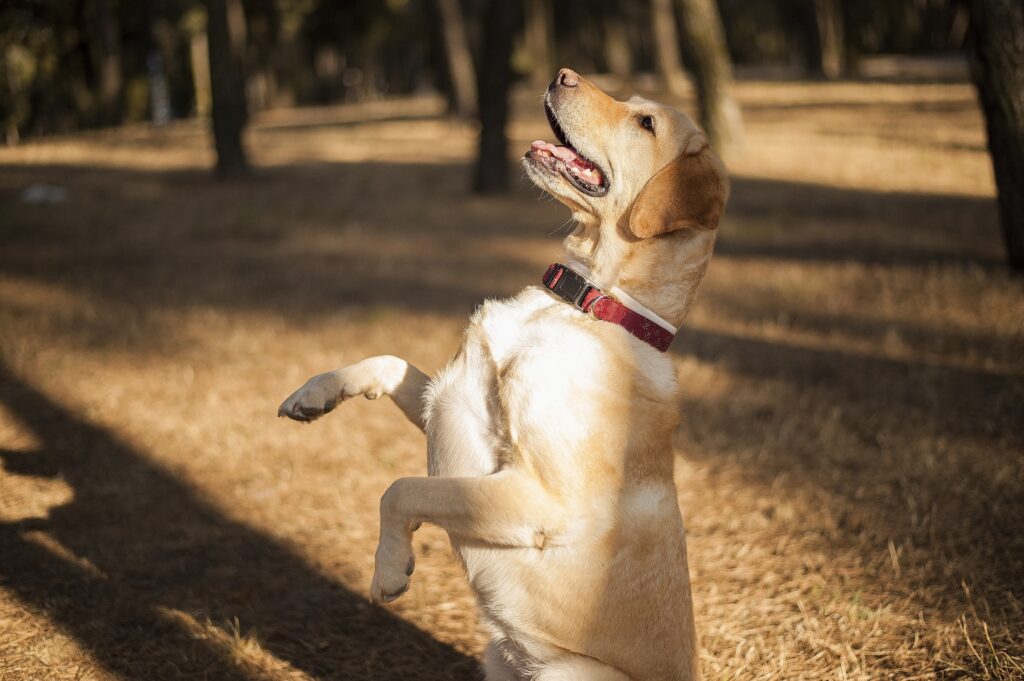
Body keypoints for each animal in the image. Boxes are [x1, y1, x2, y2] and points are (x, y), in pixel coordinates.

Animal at [280, 70, 729, 679]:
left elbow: (401, 489)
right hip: (495, 656)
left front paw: (390, 568)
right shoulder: (454, 398)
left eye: (645, 122)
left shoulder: (537, 497)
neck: (585, 304)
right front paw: (314, 394)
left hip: (569, 671)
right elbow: (389, 363)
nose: (561, 74)